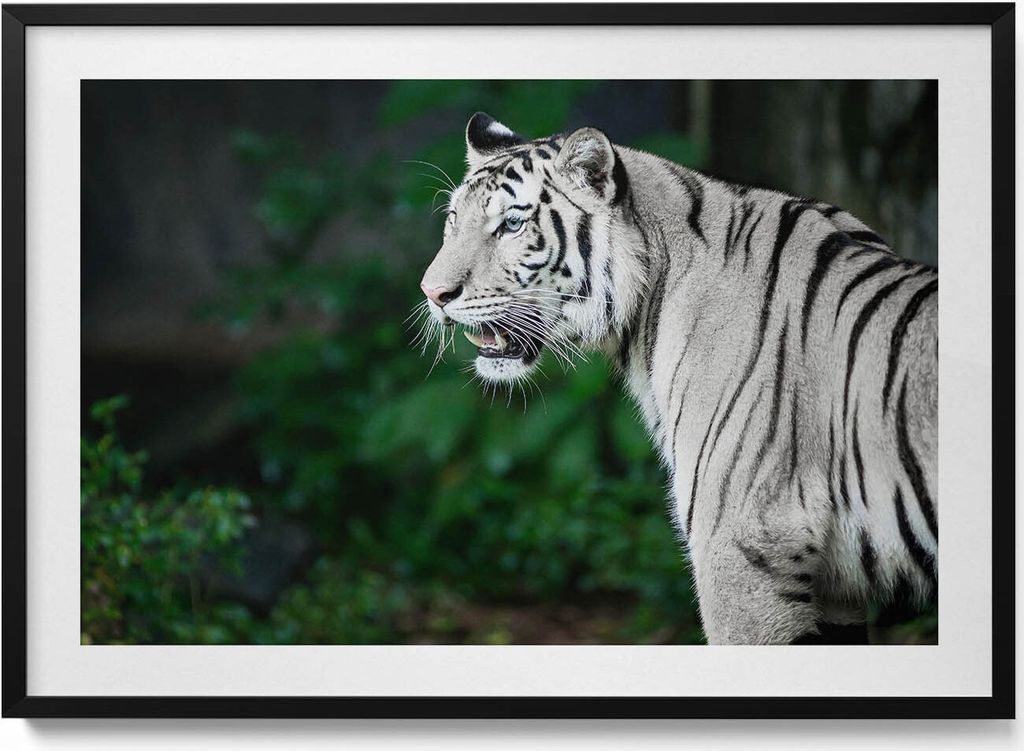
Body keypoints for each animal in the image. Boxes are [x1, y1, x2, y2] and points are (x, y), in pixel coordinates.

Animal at [417, 112, 938, 645]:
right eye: (453, 219)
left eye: (512, 224)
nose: (432, 293)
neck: (645, 312)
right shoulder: (833, 592)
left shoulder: (741, 551)